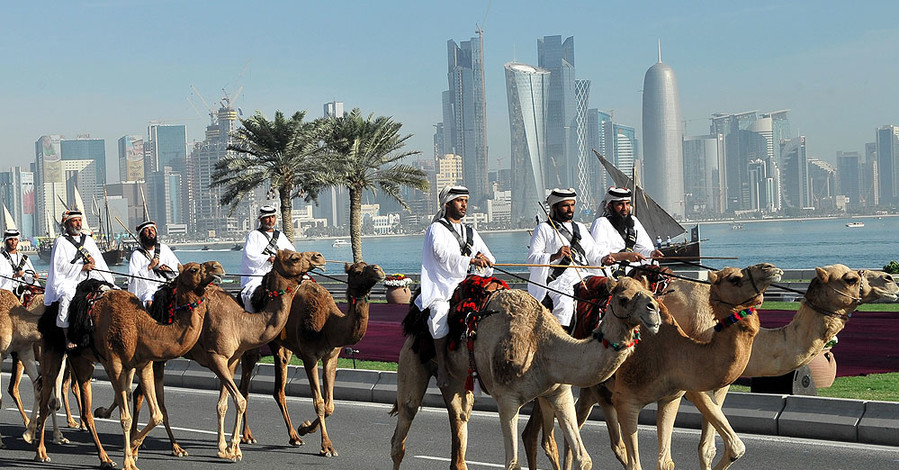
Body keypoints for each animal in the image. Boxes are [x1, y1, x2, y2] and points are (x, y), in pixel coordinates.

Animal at [31, 260, 225, 470]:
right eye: (194, 269)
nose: (218, 267)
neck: (140, 328)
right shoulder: (115, 365)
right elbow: (125, 417)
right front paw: (129, 460)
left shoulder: (144, 365)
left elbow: (156, 414)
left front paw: (133, 448)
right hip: (52, 350)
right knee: (47, 395)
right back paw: (41, 452)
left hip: (81, 360)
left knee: (84, 408)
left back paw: (104, 458)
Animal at [97, 248, 326, 460]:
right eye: (294, 257)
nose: (319, 257)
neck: (241, 323)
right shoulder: (217, 357)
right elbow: (239, 400)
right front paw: (233, 449)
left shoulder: (232, 360)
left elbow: (223, 404)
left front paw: (224, 448)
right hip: (156, 356)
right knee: (141, 394)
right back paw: (143, 446)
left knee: (139, 393)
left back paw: (168, 446)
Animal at [237, 260, 384, 456]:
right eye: (357, 271)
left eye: (367, 264)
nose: (378, 270)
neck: (329, 324)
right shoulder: (309, 357)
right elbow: (319, 403)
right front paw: (327, 447)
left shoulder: (331, 356)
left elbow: (329, 405)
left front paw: (304, 428)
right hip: (251, 342)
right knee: (245, 386)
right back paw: (247, 436)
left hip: (281, 347)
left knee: (278, 389)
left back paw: (294, 437)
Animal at [390, 278, 664, 470]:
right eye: (624, 298)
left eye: (650, 293)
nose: (655, 312)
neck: (542, 343)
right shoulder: (507, 400)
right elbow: (513, 463)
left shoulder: (559, 392)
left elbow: (583, 458)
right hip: (413, 361)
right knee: (402, 429)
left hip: (459, 382)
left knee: (459, 420)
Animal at [552, 260, 784, 470]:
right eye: (734, 278)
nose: (771, 268)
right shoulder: (629, 400)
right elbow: (636, 462)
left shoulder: (675, 396)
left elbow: (672, 460)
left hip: (596, 390)